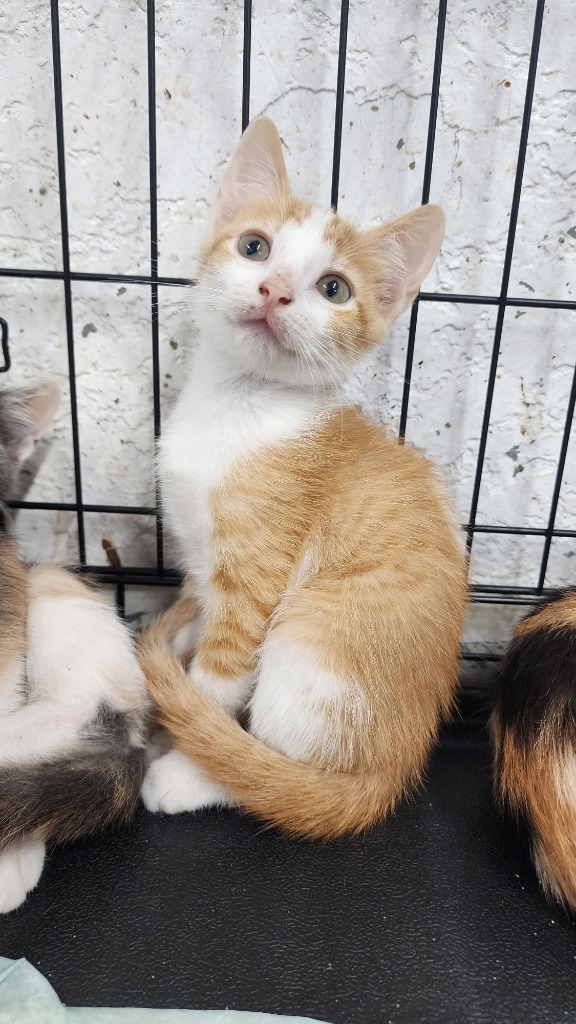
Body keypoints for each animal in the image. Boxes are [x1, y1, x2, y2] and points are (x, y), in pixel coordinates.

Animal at [138, 116, 467, 835]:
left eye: (333, 288)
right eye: (254, 247)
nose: (275, 289)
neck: (235, 409)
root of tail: (394, 772)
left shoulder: (255, 576)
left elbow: (217, 682)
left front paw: (186, 737)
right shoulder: (203, 565)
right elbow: (200, 622)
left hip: (310, 643)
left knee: (282, 769)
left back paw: (202, 777)